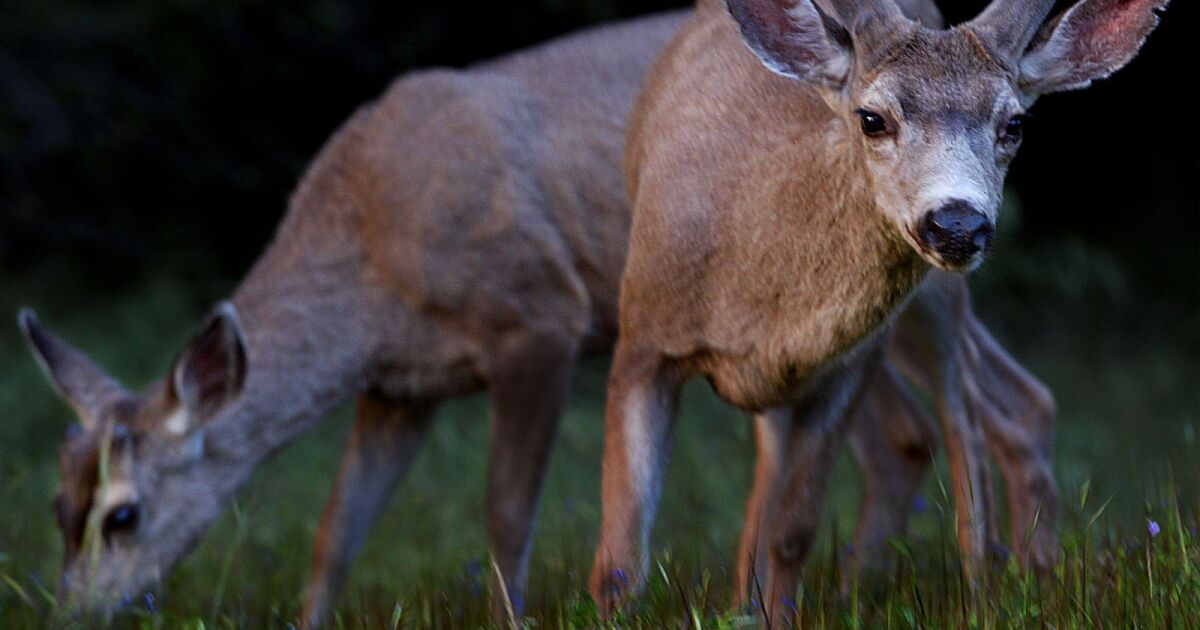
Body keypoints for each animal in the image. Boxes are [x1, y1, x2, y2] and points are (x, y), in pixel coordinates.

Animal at [19, 5, 1059, 628]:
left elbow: (506, 509)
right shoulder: (401, 387)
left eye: (121, 514)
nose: (68, 613)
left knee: (985, 406)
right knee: (948, 423)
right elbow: (338, 527)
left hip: (925, 288)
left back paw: (994, 578)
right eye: (56, 506)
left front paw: (511, 616)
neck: (370, 243)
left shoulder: (537, 317)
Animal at [590, 0, 1165, 623]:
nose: (957, 223)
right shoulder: (642, 340)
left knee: (974, 420)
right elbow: (621, 552)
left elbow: (792, 532)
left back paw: (997, 590)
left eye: (1014, 124)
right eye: (872, 119)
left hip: (931, 306)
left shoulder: (849, 366)